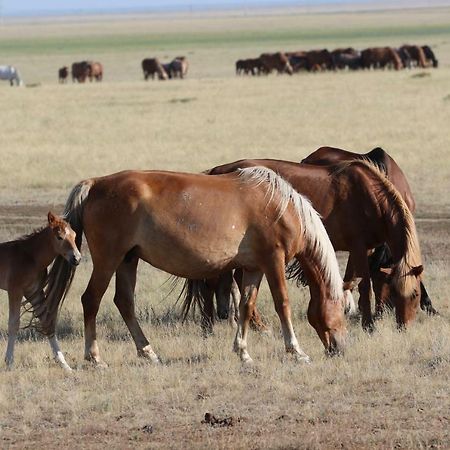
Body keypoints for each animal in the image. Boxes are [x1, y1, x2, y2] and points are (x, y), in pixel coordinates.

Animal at [0, 212, 81, 370]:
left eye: (74, 235)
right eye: (59, 237)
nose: (77, 258)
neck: (31, 257)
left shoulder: (34, 292)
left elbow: (46, 322)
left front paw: (65, 365)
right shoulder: (15, 291)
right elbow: (13, 324)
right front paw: (10, 362)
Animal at [38, 167, 346, 368]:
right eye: (342, 311)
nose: (340, 349)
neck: (281, 206)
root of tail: (95, 184)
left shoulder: (253, 268)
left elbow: (246, 306)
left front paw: (243, 352)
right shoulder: (274, 260)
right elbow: (283, 304)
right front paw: (297, 351)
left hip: (128, 260)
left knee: (124, 302)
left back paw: (148, 352)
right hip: (108, 260)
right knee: (91, 300)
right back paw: (94, 356)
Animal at [202, 159, 424, 330]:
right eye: (415, 294)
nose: (404, 326)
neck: (370, 198)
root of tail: (217, 170)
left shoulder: (363, 249)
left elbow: (350, 280)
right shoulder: (359, 248)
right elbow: (363, 285)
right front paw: (368, 325)